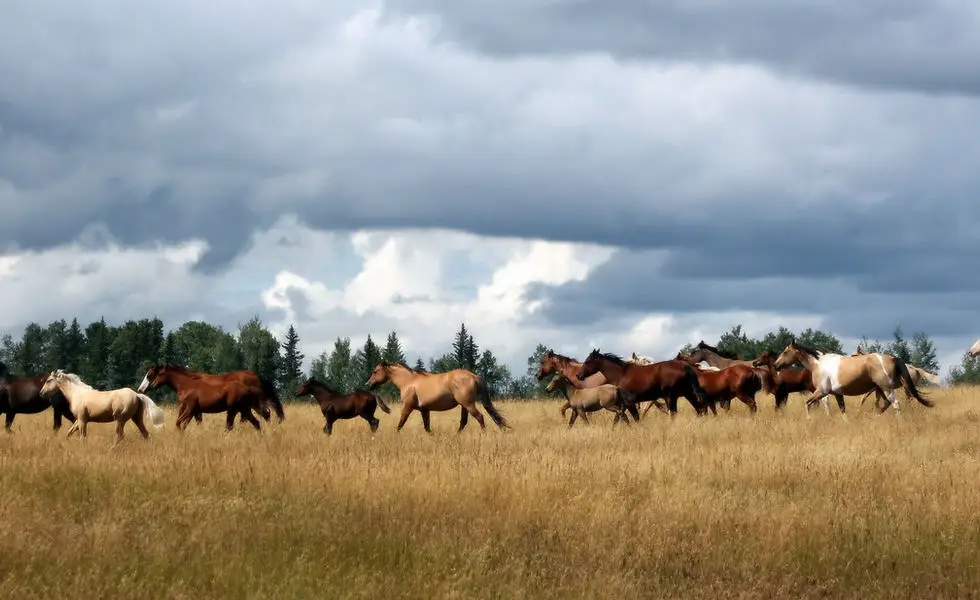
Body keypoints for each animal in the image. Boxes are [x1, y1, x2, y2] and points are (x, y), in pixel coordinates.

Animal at [137, 364, 270, 431]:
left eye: (151, 375)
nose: (140, 390)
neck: (186, 385)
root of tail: (247, 388)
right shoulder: (194, 411)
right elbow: (185, 425)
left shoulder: (190, 409)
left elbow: (178, 423)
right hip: (244, 409)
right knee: (256, 422)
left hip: (233, 409)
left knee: (231, 426)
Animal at [366, 361, 510, 433]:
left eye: (375, 371)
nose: (368, 384)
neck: (408, 381)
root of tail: (473, 376)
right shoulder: (424, 410)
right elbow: (427, 427)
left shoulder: (408, 406)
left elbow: (401, 423)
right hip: (464, 405)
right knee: (463, 422)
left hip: (468, 404)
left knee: (480, 417)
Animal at [576, 350, 709, 417]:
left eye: (587, 361)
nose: (578, 375)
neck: (622, 374)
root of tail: (686, 366)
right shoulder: (624, 404)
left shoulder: (629, 402)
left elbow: (636, 418)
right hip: (687, 394)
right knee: (700, 409)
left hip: (670, 397)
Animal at [773, 340, 933, 416]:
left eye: (786, 351)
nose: (775, 365)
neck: (818, 364)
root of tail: (893, 358)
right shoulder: (837, 394)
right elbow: (843, 410)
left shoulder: (822, 392)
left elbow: (807, 404)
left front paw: (809, 420)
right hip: (880, 389)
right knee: (886, 404)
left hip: (886, 388)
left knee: (896, 404)